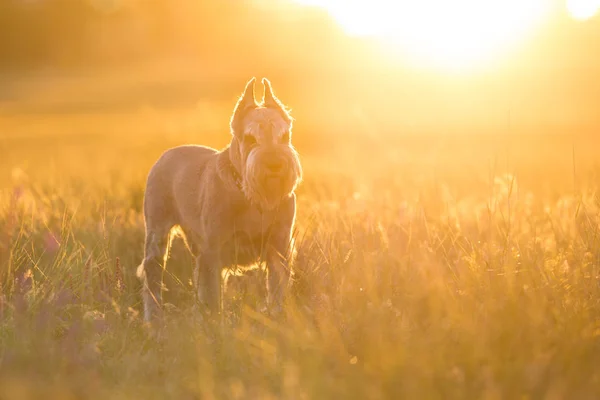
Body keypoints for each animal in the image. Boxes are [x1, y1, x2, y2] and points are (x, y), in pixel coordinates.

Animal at [138, 76, 302, 324]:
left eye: (285, 137)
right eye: (250, 138)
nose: (274, 164)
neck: (249, 196)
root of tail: (166, 155)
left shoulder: (279, 246)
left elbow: (277, 289)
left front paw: (278, 318)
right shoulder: (213, 251)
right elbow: (213, 295)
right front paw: (215, 325)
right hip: (158, 233)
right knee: (153, 273)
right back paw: (154, 318)